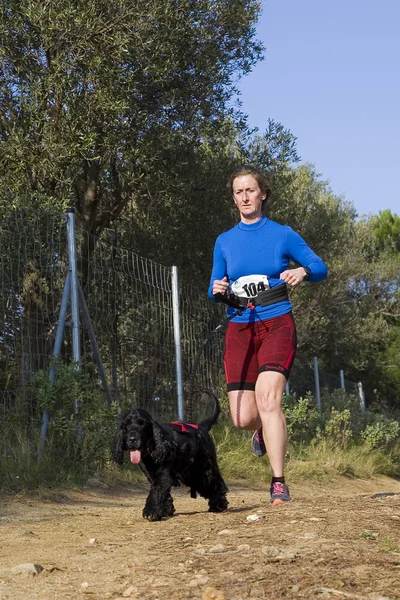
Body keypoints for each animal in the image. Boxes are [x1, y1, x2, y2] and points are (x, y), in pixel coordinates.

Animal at [111, 390, 228, 520]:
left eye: (142, 423)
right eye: (126, 424)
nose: (132, 439)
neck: (153, 446)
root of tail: (201, 427)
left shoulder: (162, 474)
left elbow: (156, 491)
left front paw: (151, 511)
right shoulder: (152, 475)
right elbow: (163, 492)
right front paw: (166, 510)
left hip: (204, 468)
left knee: (215, 484)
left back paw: (218, 505)